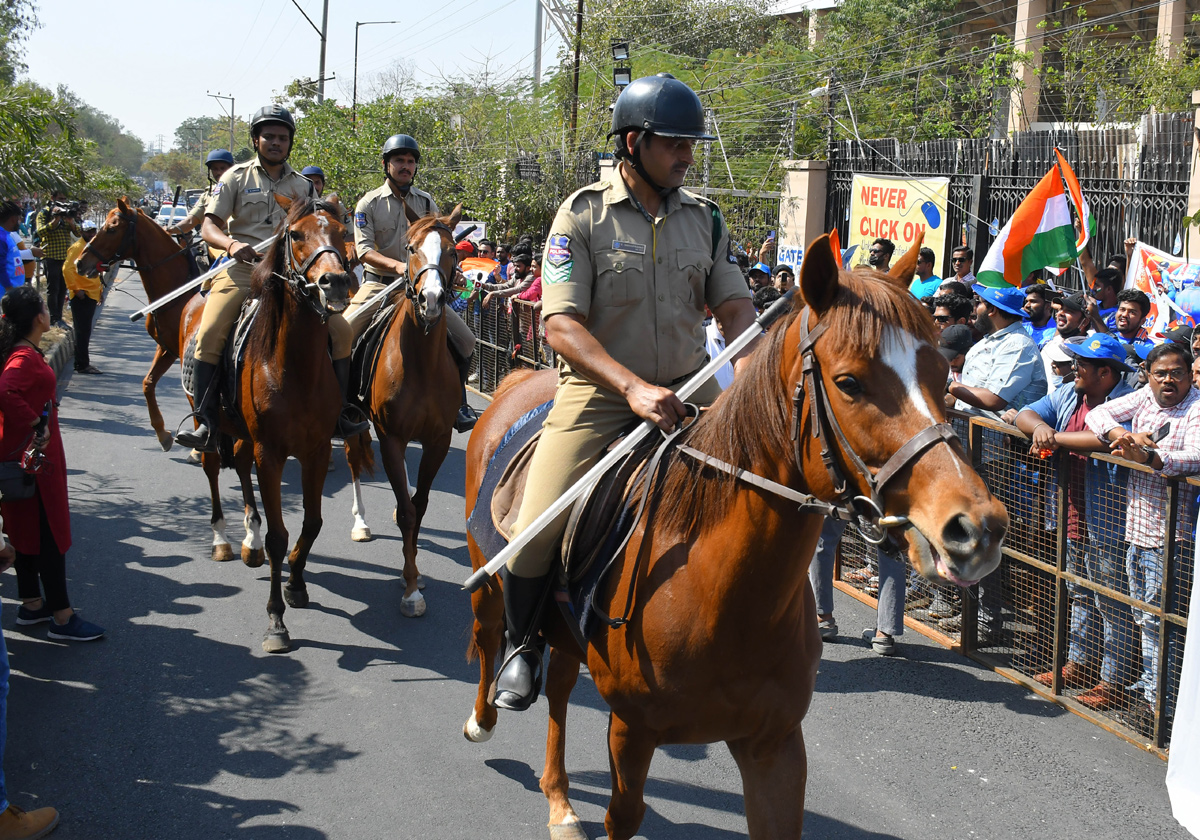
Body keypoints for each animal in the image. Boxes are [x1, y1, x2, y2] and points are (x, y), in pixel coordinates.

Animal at [180, 195, 352, 648]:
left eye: (343, 232)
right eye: (296, 234)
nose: (336, 283)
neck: (295, 366)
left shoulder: (316, 450)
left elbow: (312, 522)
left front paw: (296, 584)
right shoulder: (271, 453)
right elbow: (280, 536)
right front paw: (276, 620)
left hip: (241, 434)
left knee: (240, 467)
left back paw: (249, 540)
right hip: (213, 426)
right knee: (212, 467)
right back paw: (223, 540)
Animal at [345, 201, 465, 619]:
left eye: (452, 251)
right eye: (410, 248)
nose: (432, 300)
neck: (421, 362)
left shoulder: (438, 441)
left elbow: (420, 506)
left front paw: (412, 572)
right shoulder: (391, 439)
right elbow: (406, 512)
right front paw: (411, 589)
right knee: (353, 462)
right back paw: (361, 523)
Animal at [463, 236, 1008, 840]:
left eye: (941, 375)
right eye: (849, 382)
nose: (977, 526)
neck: (721, 595)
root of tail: (519, 380)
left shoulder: (774, 746)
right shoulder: (630, 731)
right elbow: (623, 814)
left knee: (559, 685)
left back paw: (559, 800)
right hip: (490, 580)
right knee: (491, 638)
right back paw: (486, 715)